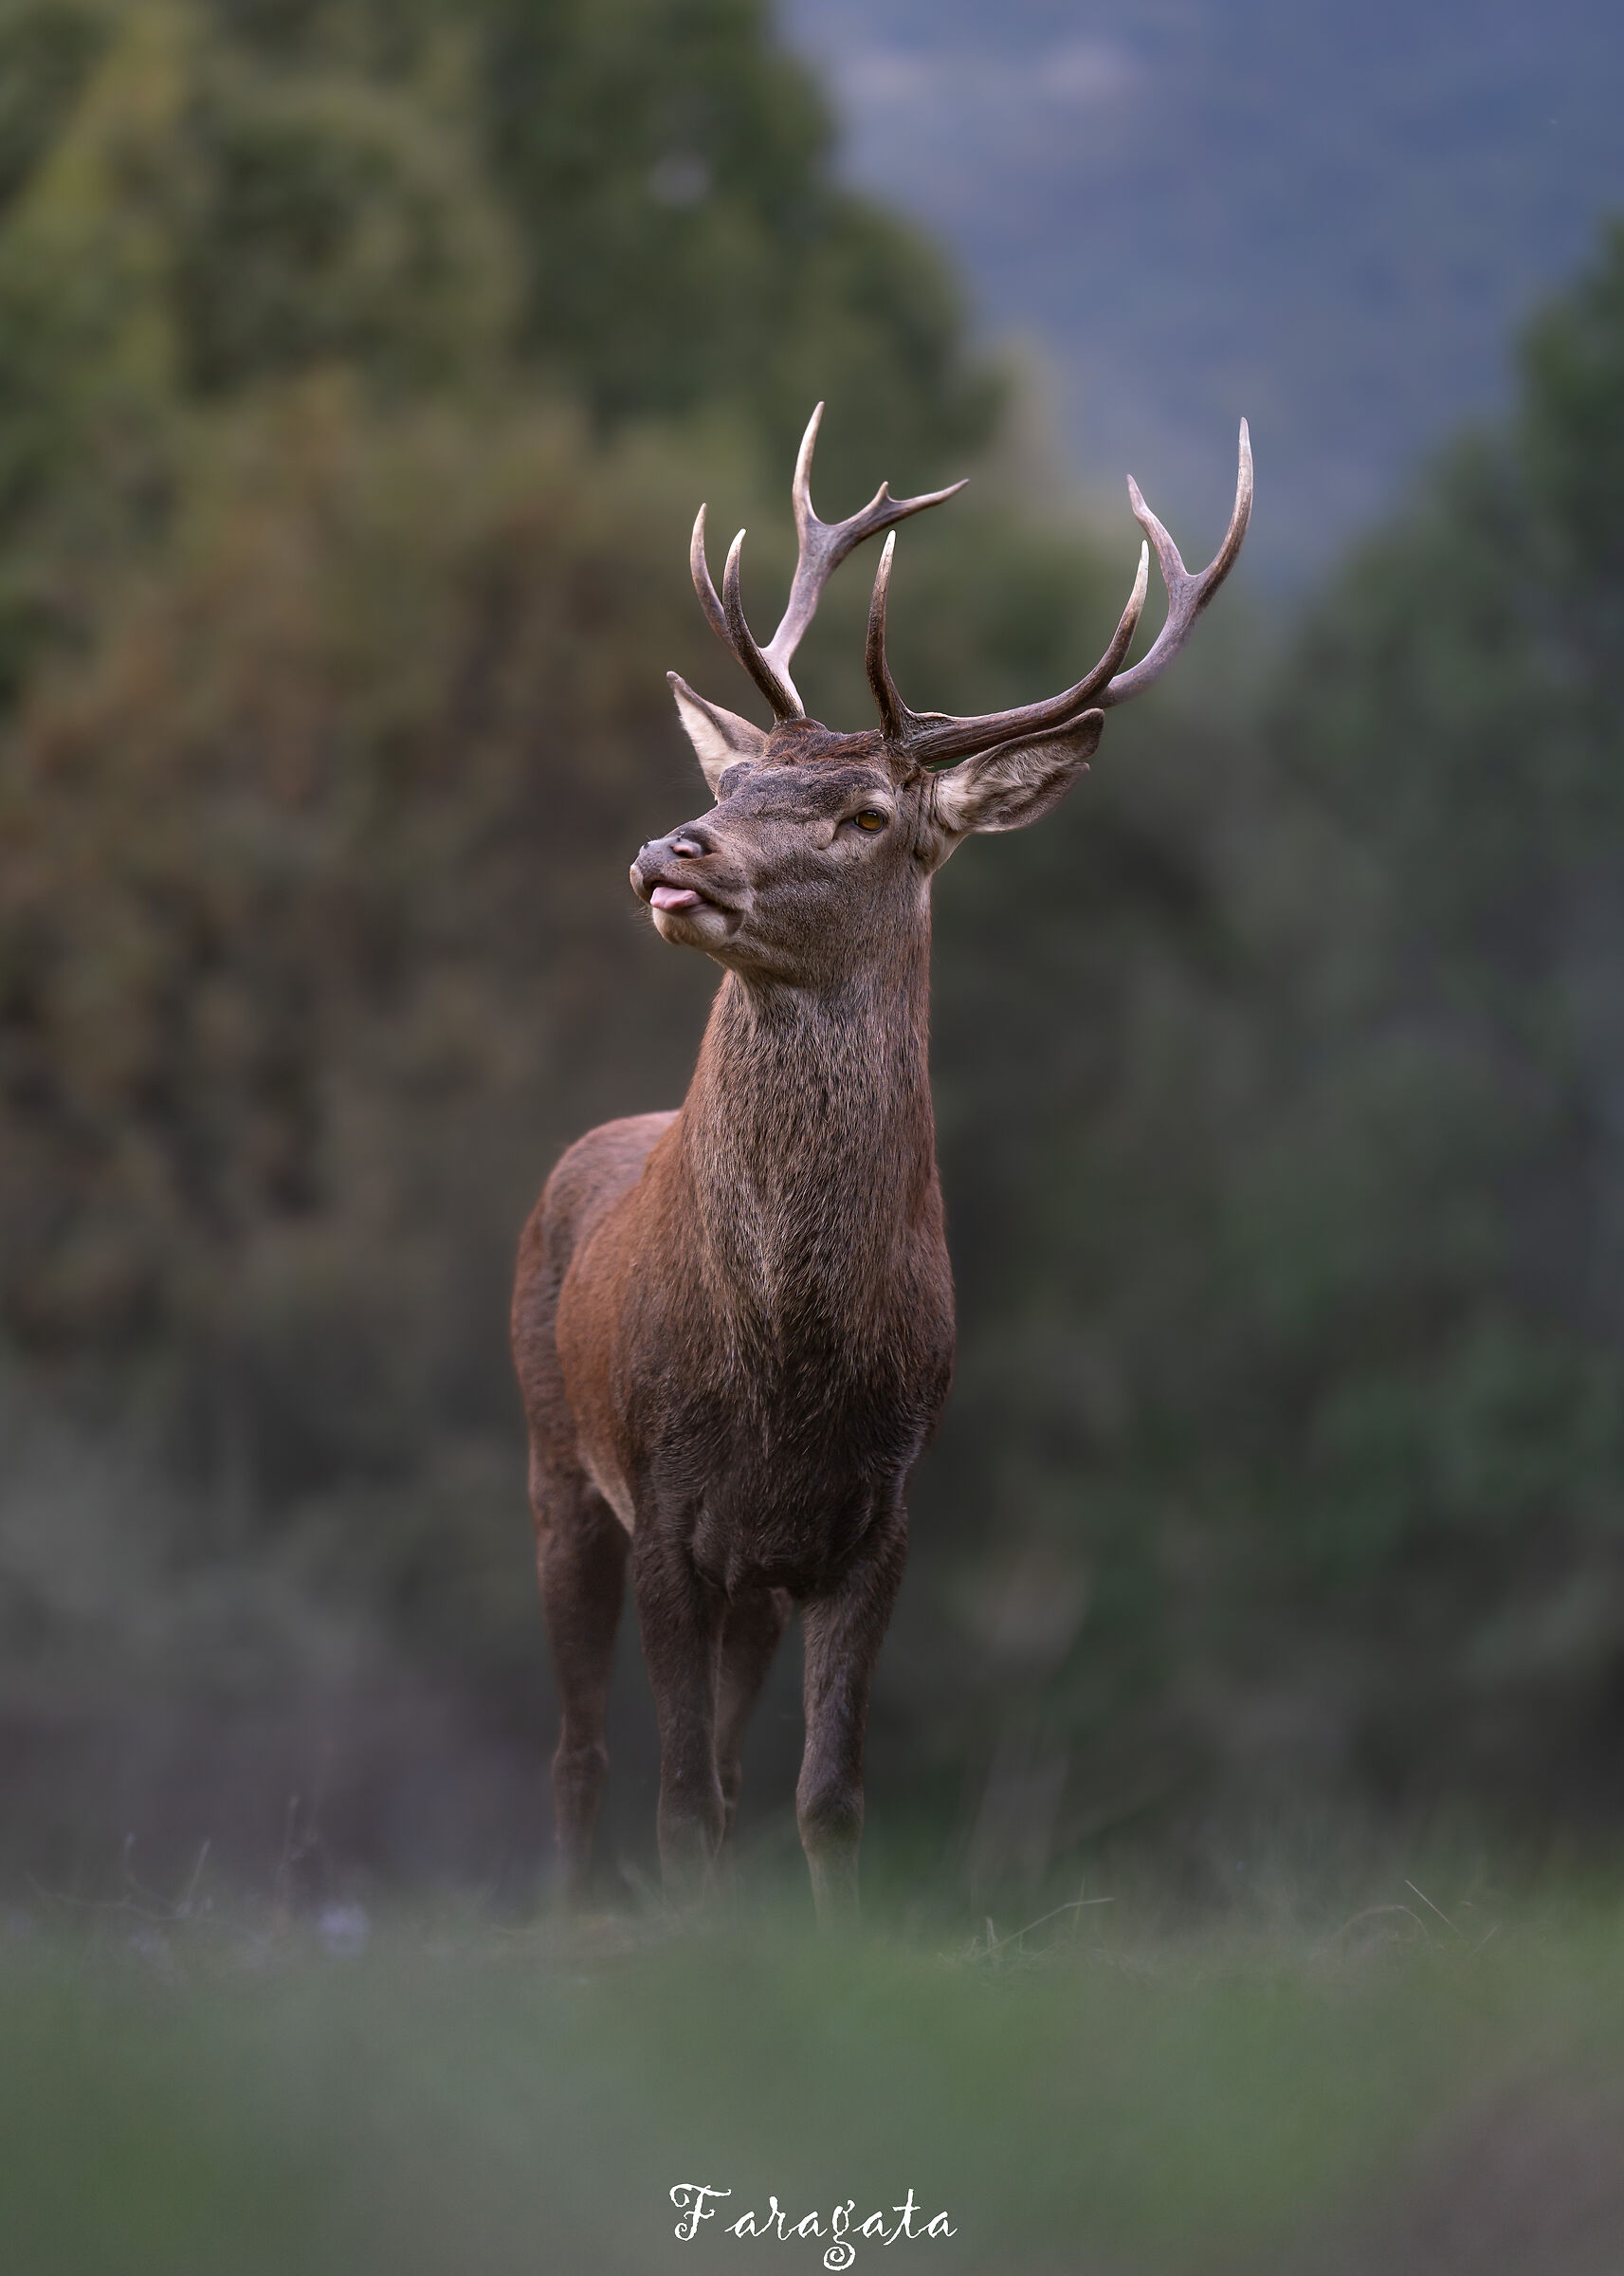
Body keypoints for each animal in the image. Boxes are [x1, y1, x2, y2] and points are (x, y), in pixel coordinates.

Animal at [511, 404, 1251, 1919]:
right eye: (735, 779)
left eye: (865, 816)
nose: (670, 848)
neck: (784, 1371)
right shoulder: (665, 1501)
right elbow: (681, 1801)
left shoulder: (879, 1518)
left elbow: (821, 1797)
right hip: (554, 1461)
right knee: (578, 1754)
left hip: (739, 1571)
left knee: (718, 1762)